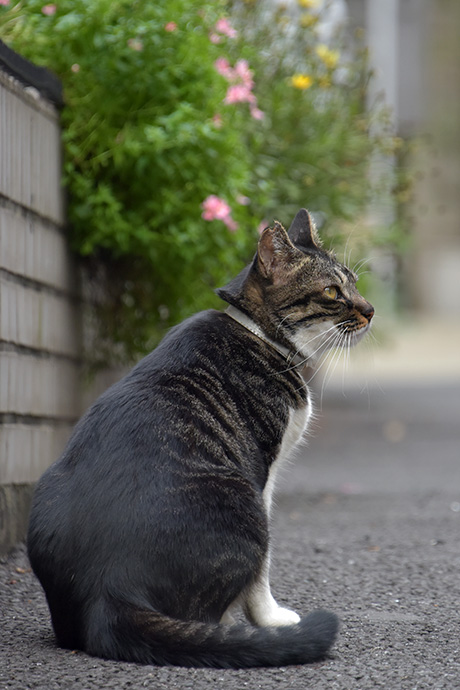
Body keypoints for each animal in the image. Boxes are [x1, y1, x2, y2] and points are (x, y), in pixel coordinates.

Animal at [27, 210, 374, 668]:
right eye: (333, 292)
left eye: (354, 281)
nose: (370, 309)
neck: (259, 333)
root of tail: (108, 591)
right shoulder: (264, 474)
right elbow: (261, 575)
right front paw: (271, 619)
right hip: (244, 500)